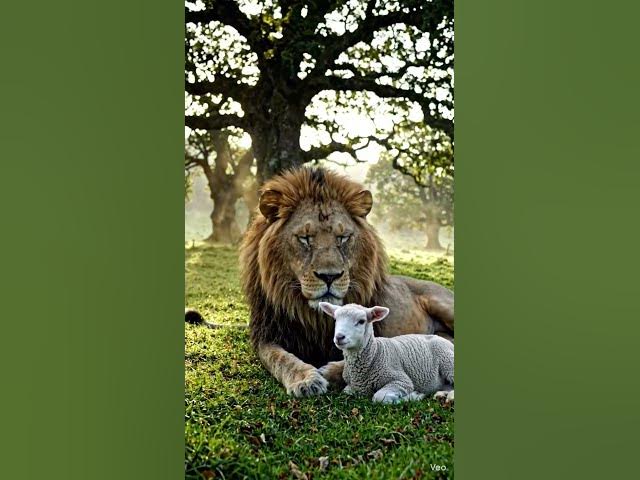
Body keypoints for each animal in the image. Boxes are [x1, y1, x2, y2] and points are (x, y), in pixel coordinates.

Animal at [318, 302, 454, 405]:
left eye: (361, 321)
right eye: (335, 319)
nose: (339, 337)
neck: (375, 352)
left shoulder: (401, 380)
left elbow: (379, 398)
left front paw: (414, 396)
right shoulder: (354, 386)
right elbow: (346, 391)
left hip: (448, 361)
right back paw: (441, 394)